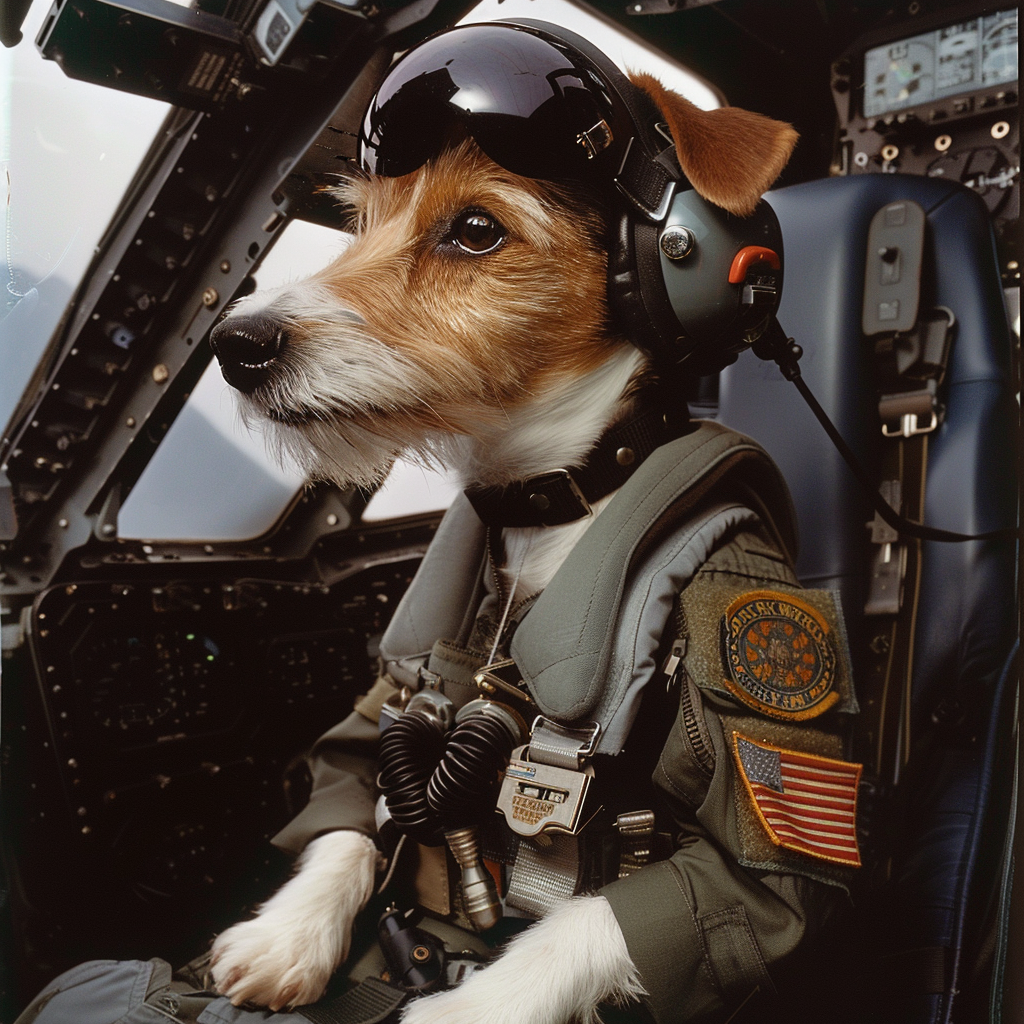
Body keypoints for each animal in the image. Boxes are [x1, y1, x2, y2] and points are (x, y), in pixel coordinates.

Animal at [207, 36, 798, 1019]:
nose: (234, 345)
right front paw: (284, 934)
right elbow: (349, 807)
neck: (552, 500)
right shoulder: (371, 727)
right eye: (361, 224)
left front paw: (456, 1007)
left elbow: (603, 918)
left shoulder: (760, 859)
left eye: (476, 229)